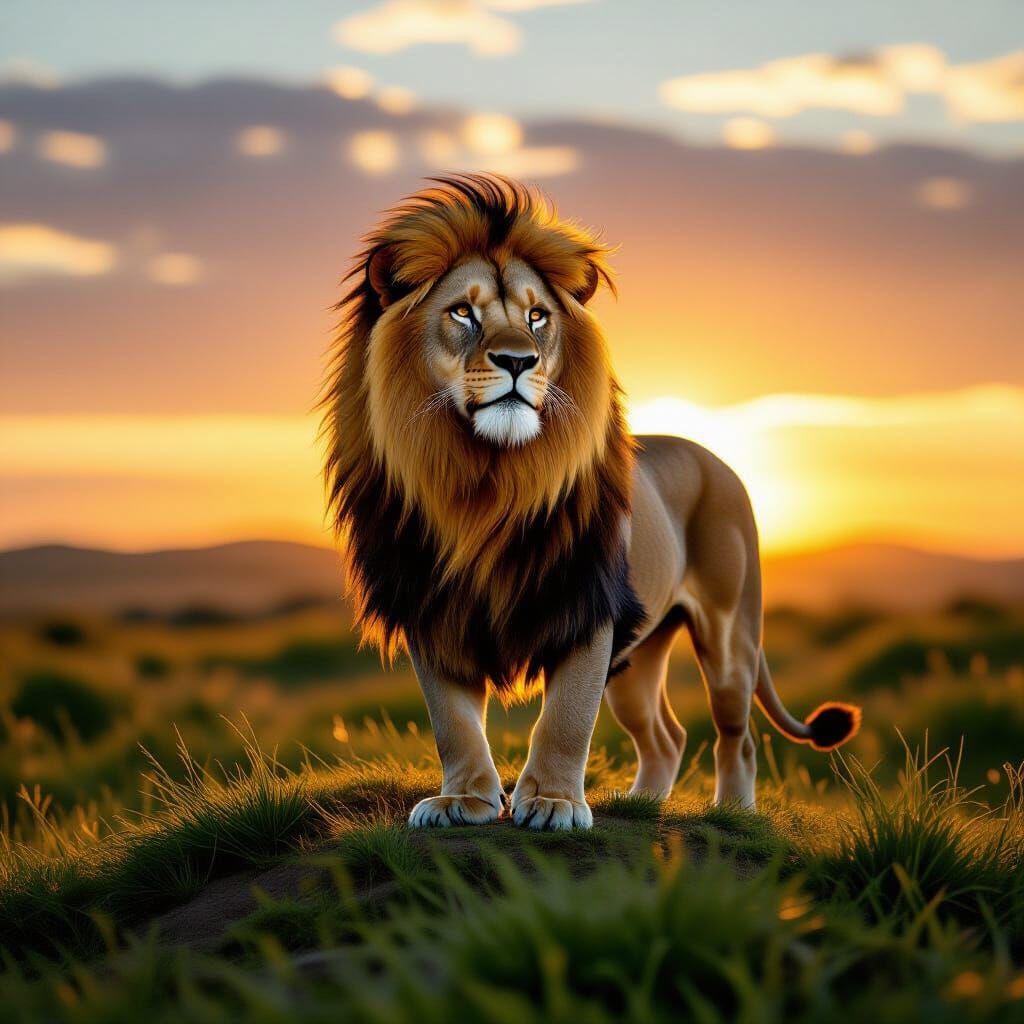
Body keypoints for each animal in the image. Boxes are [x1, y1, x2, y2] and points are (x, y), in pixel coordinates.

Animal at [322, 174, 860, 829]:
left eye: (537, 316)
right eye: (462, 312)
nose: (518, 360)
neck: (484, 481)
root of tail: (718, 459)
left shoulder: (588, 606)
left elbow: (567, 718)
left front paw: (553, 803)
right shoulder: (430, 606)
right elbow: (453, 722)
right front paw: (464, 800)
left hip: (728, 634)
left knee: (738, 735)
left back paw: (733, 814)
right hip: (640, 653)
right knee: (666, 736)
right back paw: (640, 802)